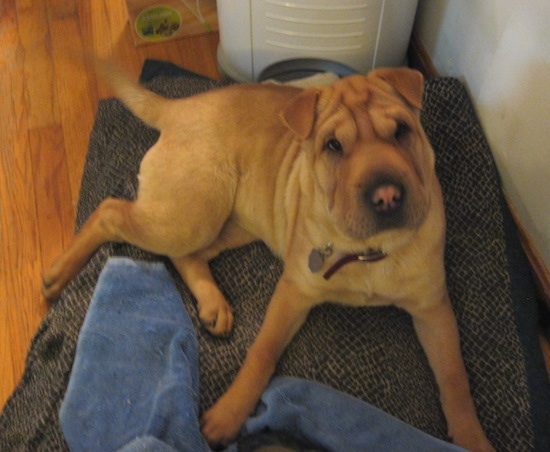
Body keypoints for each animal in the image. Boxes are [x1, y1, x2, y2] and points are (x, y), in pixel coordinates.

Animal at [43, 64, 496, 452]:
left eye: (402, 131)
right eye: (333, 146)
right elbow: (262, 353)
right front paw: (228, 415)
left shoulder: (433, 307)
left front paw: (472, 437)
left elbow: (454, 378)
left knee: (188, 254)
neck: (370, 252)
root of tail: (181, 107)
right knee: (111, 211)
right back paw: (57, 273)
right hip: (193, 211)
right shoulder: (294, 291)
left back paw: (212, 304)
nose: (387, 196)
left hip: (235, 221)